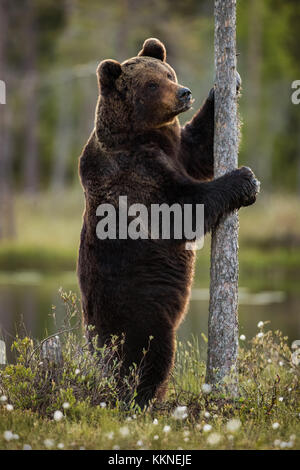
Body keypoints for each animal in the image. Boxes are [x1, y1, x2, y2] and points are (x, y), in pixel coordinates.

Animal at [78, 38, 260, 410]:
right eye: (151, 84)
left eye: (168, 73)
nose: (184, 93)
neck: (142, 137)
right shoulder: (134, 177)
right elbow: (180, 209)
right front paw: (245, 178)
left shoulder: (176, 149)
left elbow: (200, 147)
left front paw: (226, 84)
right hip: (136, 309)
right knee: (149, 354)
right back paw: (141, 399)